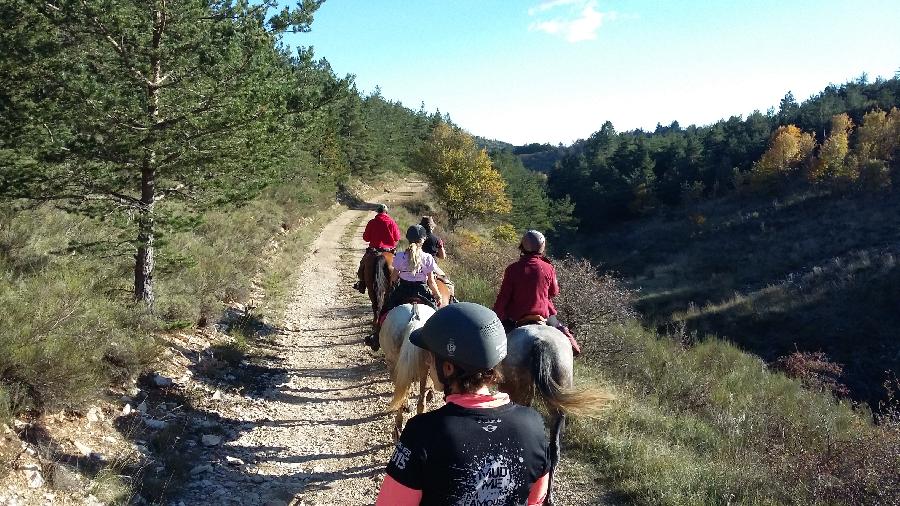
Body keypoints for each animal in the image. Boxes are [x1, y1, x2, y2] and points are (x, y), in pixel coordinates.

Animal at [378, 302, 438, 440]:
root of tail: (415, 317)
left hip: (393, 363)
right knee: (420, 400)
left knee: (403, 394)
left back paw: (398, 427)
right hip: (424, 368)